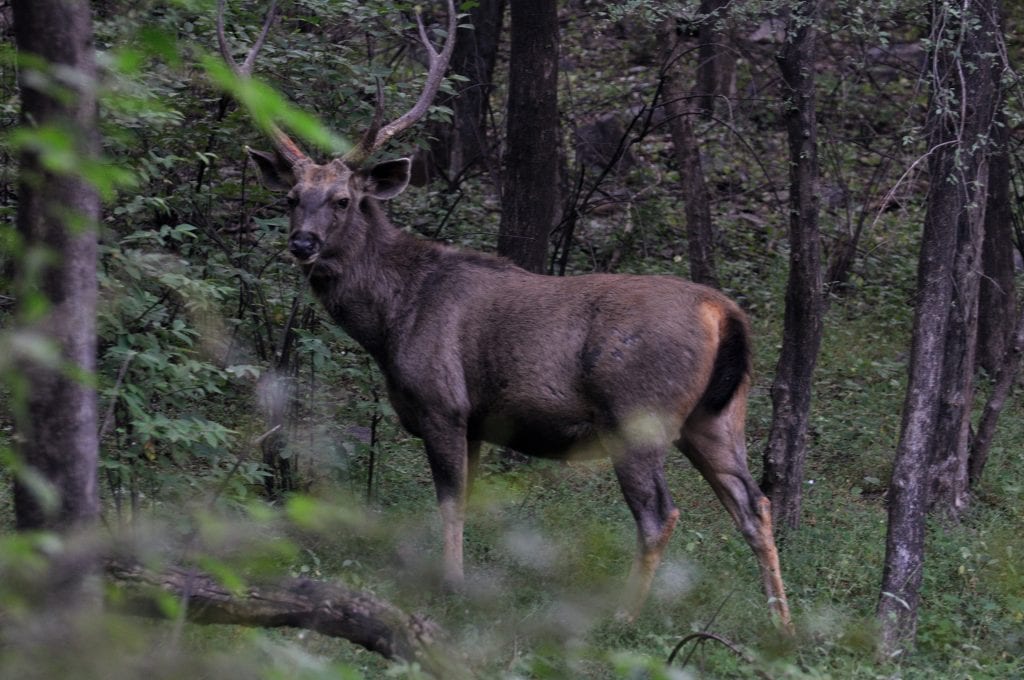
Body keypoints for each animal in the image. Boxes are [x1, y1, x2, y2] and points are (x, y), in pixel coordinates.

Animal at [217, 0, 791, 628]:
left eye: (343, 200)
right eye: (292, 198)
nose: (302, 243)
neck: (393, 318)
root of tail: (725, 313)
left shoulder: (443, 402)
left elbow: (448, 500)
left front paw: (451, 586)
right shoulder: (476, 420)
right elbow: (469, 500)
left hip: (638, 413)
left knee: (660, 514)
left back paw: (623, 617)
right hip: (717, 417)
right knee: (755, 504)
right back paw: (782, 627)